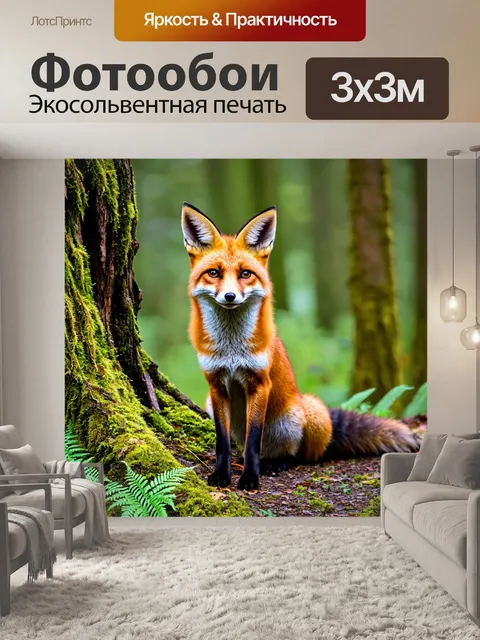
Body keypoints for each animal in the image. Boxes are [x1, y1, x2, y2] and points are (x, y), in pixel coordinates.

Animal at [181, 202, 420, 491]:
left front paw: (250, 477)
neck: (232, 349)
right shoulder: (215, 384)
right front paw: (221, 474)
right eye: (214, 273)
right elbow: (223, 441)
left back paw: (276, 464)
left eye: (245, 274)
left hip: (309, 413)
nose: (230, 296)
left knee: (300, 455)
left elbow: (253, 440)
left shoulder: (259, 383)